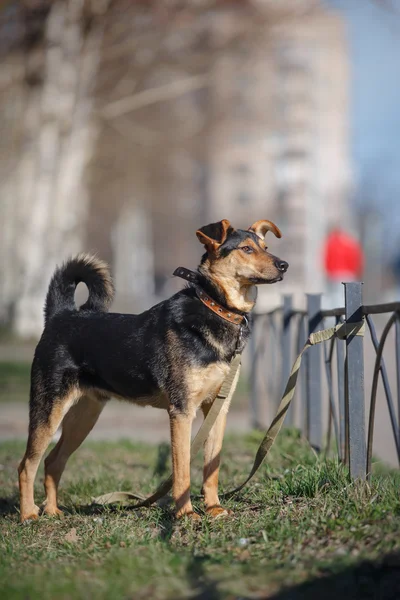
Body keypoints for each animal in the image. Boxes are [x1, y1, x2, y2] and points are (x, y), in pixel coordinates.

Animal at [18, 219, 288, 520]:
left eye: (266, 247)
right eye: (246, 249)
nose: (284, 265)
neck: (216, 308)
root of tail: (61, 315)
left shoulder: (218, 408)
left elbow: (211, 468)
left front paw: (214, 508)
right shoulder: (182, 411)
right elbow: (182, 470)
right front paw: (186, 515)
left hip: (83, 415)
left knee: (53, 461)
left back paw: (52, 511)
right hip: (49, 410)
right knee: (27, 464)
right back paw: (29, 514)